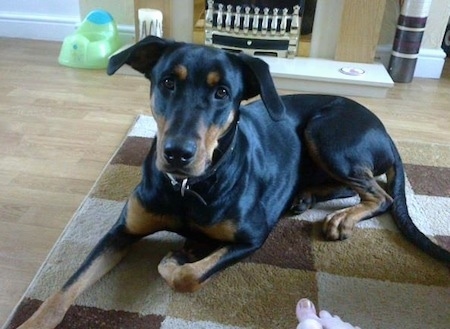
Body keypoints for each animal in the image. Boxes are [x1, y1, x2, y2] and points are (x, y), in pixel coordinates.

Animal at [15, 36, 448, 328]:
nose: (177, 153)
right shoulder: (123, 229)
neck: (187, 189)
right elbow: (64, 289)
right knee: (352, 185)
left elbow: (188, 276)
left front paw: (181, 255)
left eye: (223, 92)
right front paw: (33, 321)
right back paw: (304, 197)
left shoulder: (252, 236)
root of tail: (386, 132)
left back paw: (338, 217)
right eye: (167, 82)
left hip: (327, 132)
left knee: (379, 193)